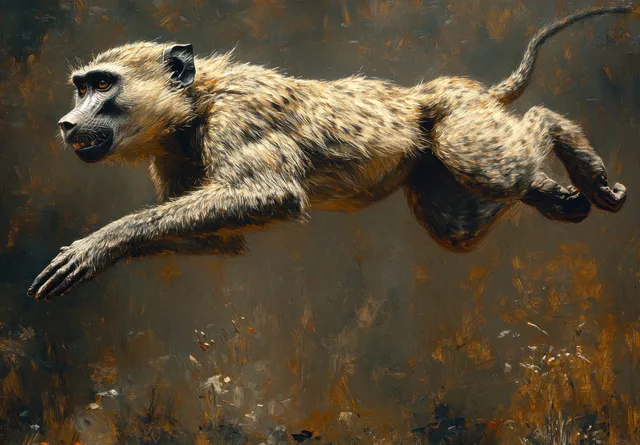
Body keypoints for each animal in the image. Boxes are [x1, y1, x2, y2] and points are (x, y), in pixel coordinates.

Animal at [28, 5, 633, 301]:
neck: (197, 102)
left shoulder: (240, 117)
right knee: (457, 223)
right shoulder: (171, 157)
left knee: (502, 151)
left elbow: (270, 194)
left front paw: (97, 245)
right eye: (81, 87)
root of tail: (439, 90)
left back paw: (570, 148)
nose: (66, 123)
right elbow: (220, 241)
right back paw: (555, 193)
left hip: (460, 118)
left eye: (102, 85)